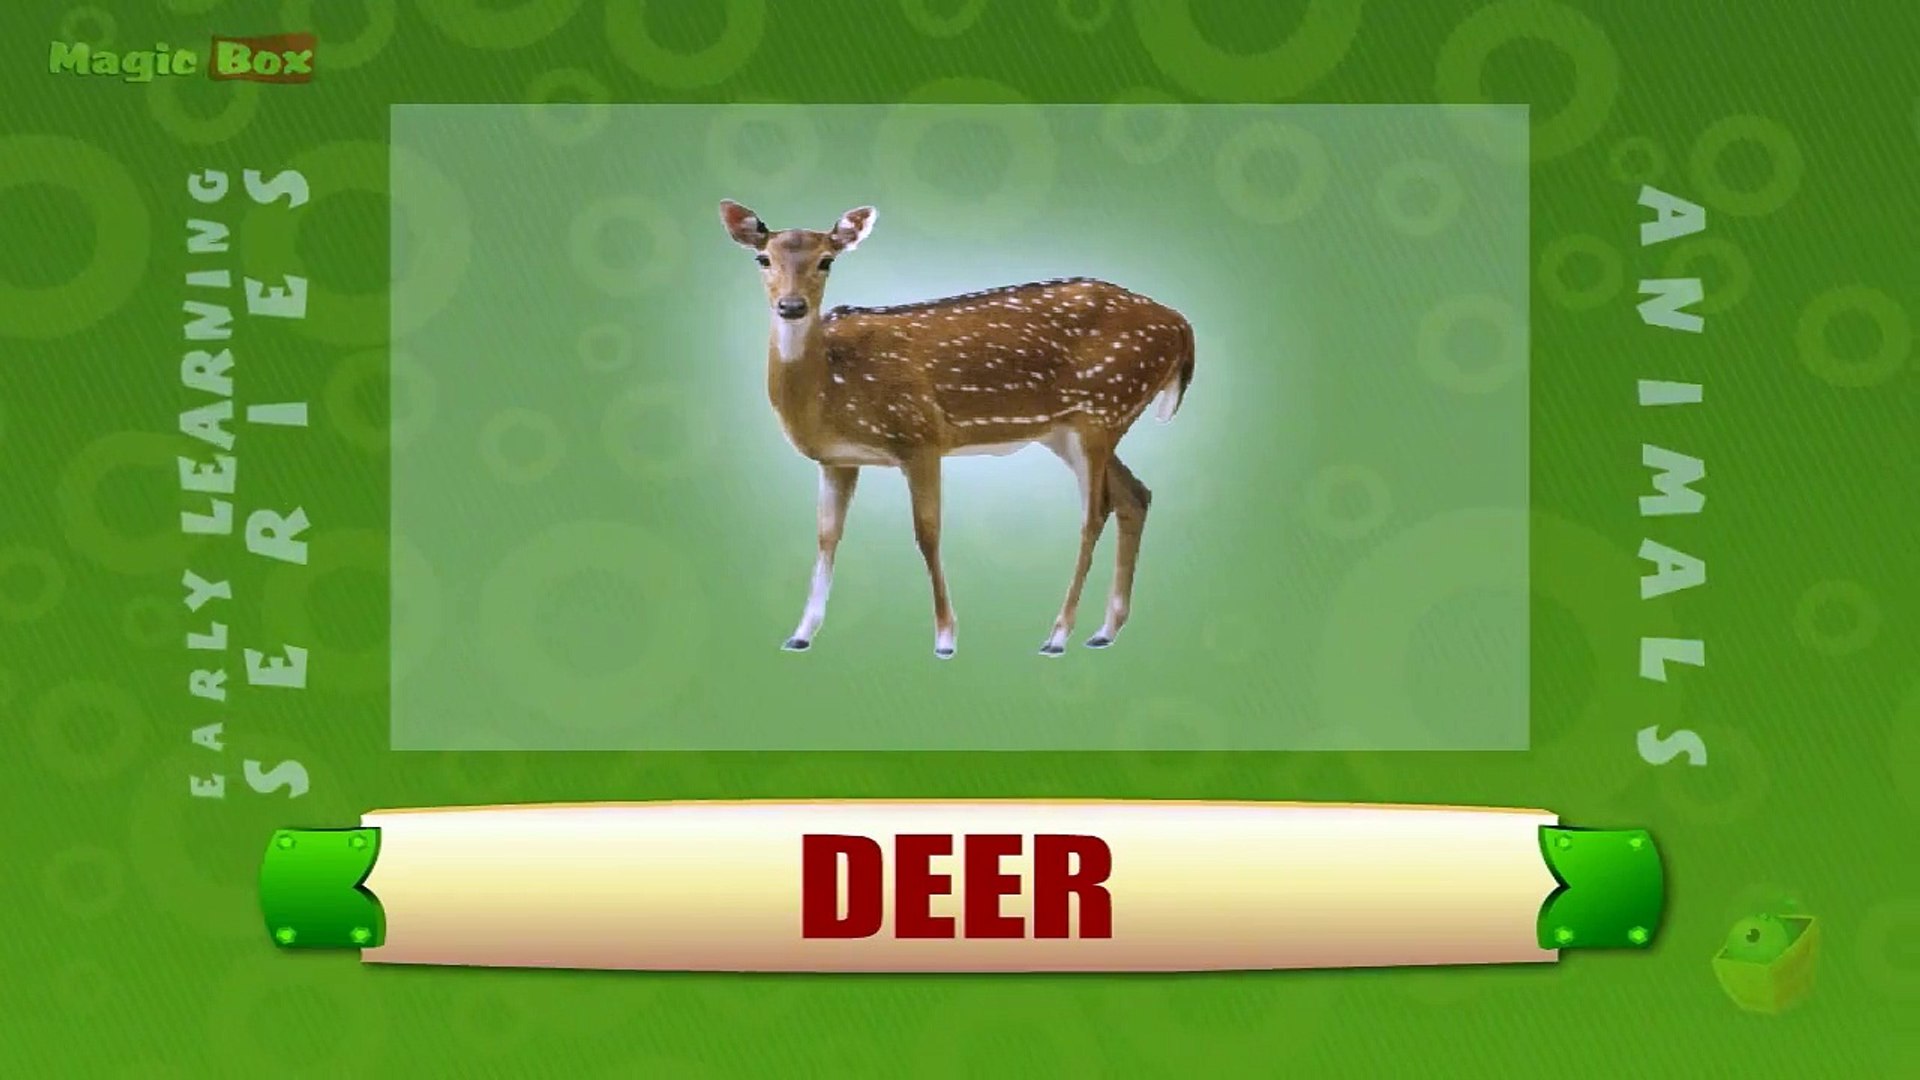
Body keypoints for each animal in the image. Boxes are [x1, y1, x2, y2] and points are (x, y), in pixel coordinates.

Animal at [718, 199, 1195, 660]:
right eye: (763, 258)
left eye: (826, 260)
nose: (791, 306)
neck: (829, 391)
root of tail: (1182, 327)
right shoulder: (839, 459)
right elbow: (826, 536)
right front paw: (800, 634)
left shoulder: (921, 435)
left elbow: (927, 533)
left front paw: (945, 639)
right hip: (1072, 429)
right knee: (1135, 496)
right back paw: (1104, 630)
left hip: (1101, 409)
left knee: (1094, 513)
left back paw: (1058, 636)